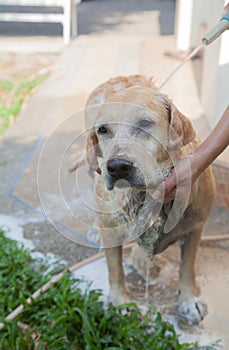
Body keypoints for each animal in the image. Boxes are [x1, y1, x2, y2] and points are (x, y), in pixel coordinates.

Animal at [81, 74, 216, 326]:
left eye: (144, 123)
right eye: (103, 130)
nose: (117, 166)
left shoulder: (196, 227)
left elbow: (187, 267)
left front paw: (189, 299)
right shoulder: (113, 232)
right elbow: (115, 270)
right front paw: (121, 303)